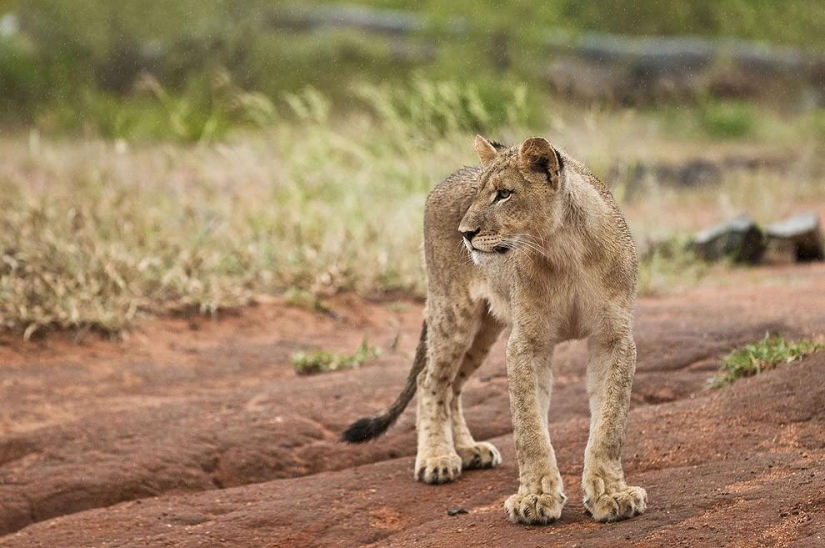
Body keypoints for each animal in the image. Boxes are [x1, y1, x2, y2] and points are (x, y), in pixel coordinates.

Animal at [343, 135, 647, 525]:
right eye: (478, 194)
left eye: (504, 194)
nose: (465, 233)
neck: (565, 250)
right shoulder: (527, 342)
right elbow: (529, 427)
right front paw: (535, 498)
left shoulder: (613, 338)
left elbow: (610, 424)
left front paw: (611, 494)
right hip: (452, 311)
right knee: (431, 381)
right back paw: (437, 458)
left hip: (485, 328)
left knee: (453, 386)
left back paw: (468, 449)